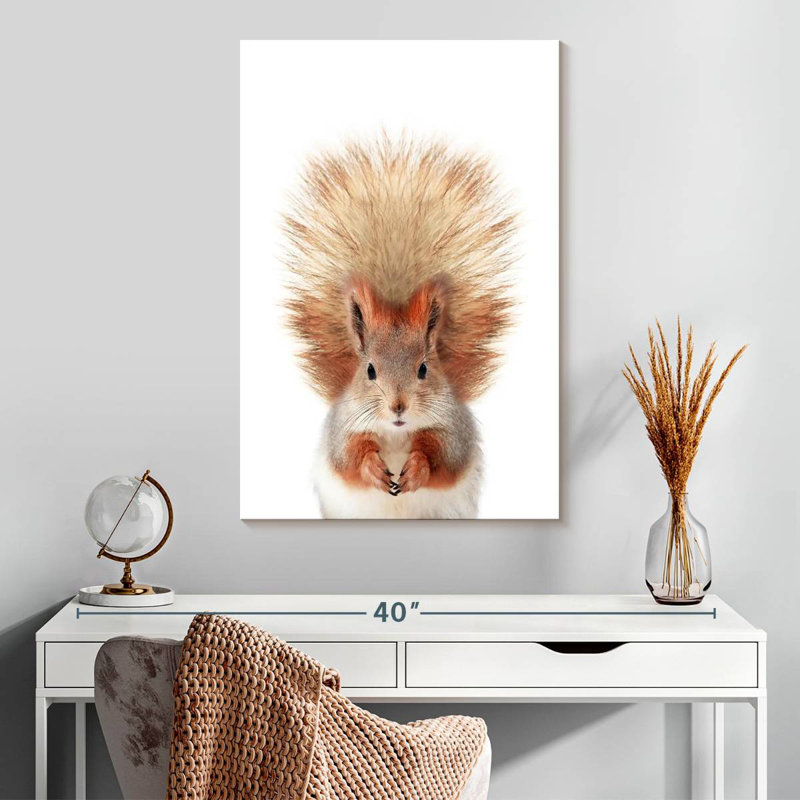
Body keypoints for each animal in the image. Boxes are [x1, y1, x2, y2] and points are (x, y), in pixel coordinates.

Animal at [283, 136, 517, 519]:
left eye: (423, 369)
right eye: (369, 370)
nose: (398, 407)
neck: (395, 433)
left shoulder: (452, 430)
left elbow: (442, 458)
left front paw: (417, 469)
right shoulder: (343, 430)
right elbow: (350, 458)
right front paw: (374, 469)